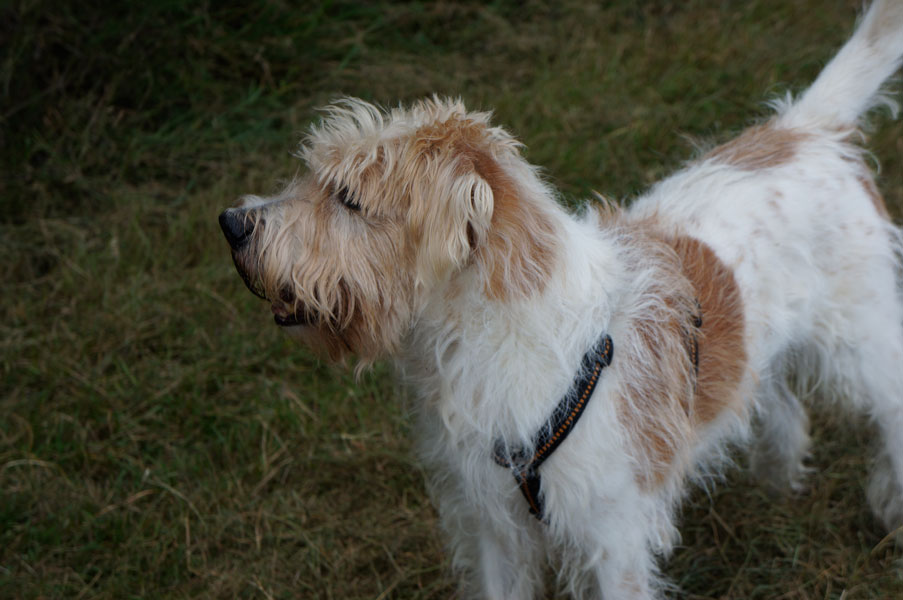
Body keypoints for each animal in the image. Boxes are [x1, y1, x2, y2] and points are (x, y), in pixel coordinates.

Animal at [219, 1, 903, 597]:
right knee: (777, 399)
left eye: (349, 200)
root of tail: (804, 129)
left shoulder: (614, 539)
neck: (486, 339)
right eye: (312, 178)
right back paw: (779, 480)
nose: (232, 223)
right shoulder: (493, 527)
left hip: (865, 343)